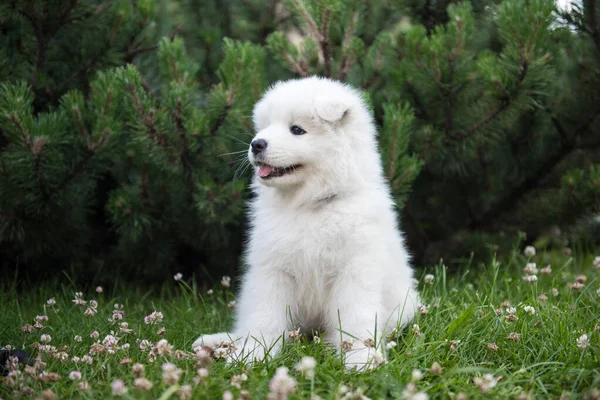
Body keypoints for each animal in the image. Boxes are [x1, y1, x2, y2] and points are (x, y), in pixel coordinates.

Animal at [195, 76, 420, 370]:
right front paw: (252, 355)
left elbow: (356, 319)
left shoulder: (354, 270)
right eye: (266, 127)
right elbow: (264, 318)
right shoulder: (273, 271)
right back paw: (217, 343)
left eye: (297, 130)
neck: (309, 206)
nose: (256, 144)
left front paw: (361, 359)